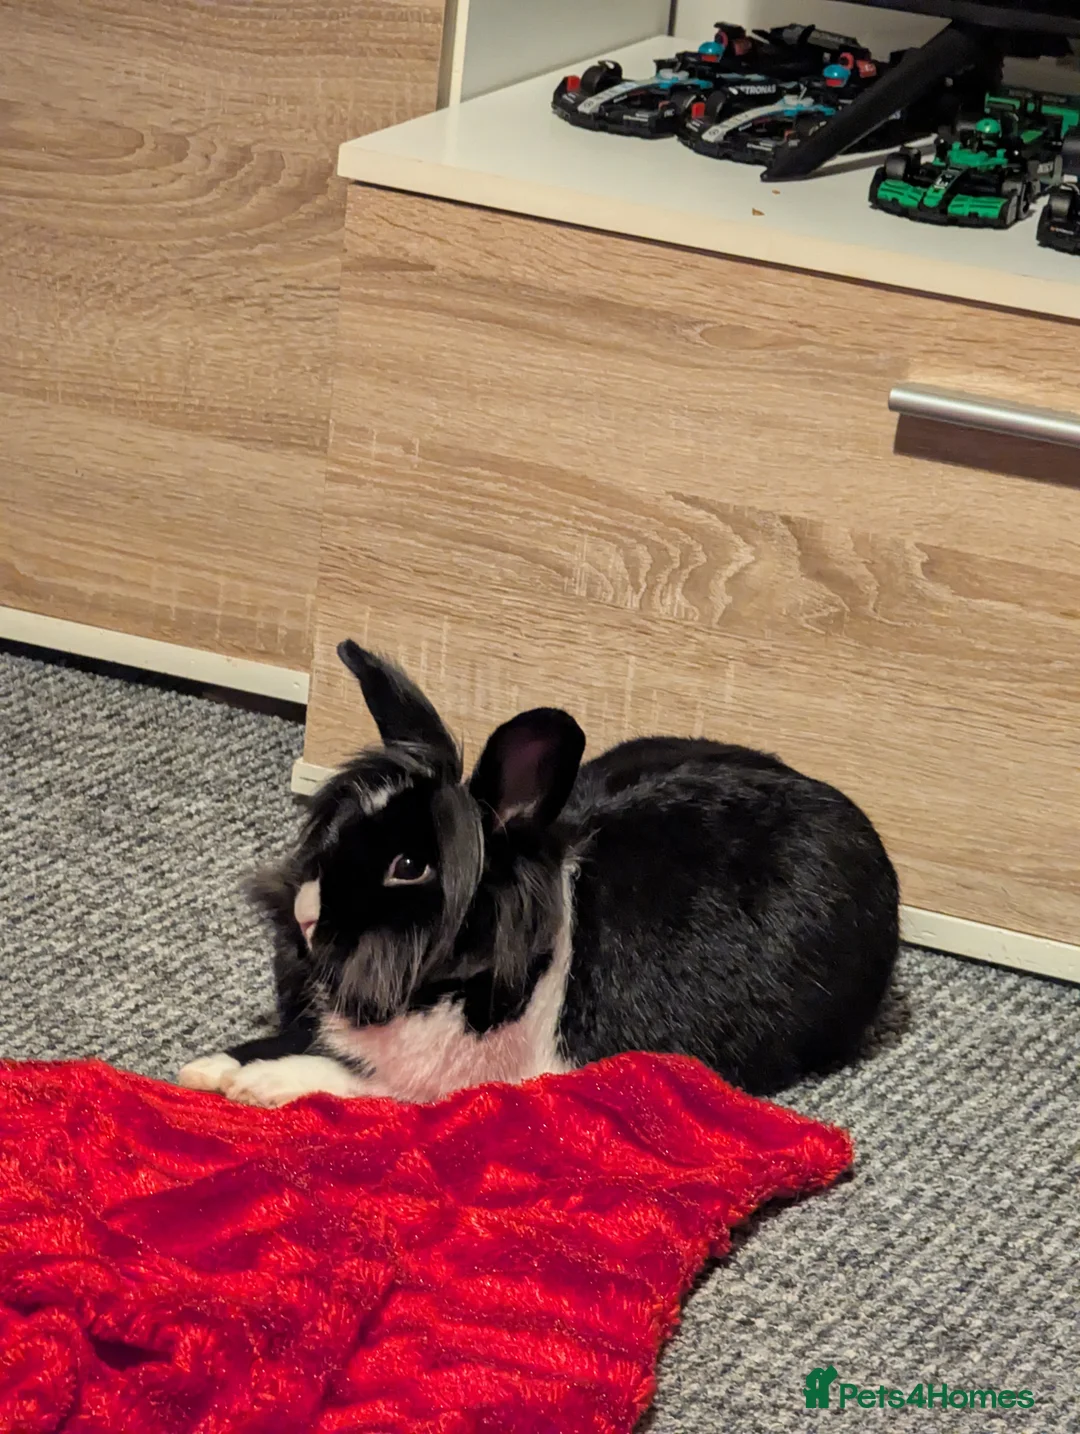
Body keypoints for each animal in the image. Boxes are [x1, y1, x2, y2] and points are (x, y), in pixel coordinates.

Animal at [178, 640, 899, 1108]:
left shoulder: (450, 1081)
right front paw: (210, 1068)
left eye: (409, 866)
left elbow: (353, 1082)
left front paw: (258, 1084)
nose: (305, 912)